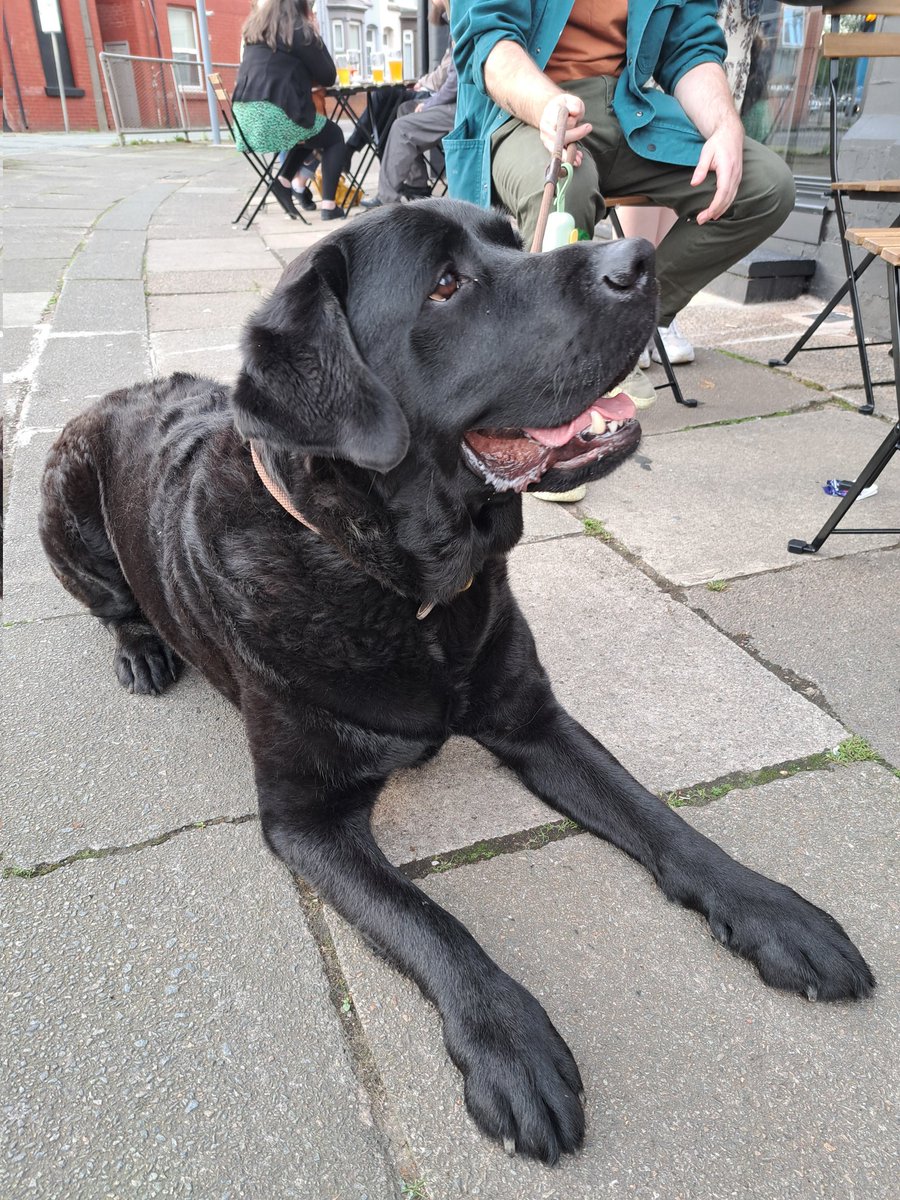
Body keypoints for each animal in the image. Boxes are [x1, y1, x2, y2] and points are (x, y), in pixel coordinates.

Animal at [40, 201, 873, 1166]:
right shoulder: (305, 819)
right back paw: (141, 652)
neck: (405, 584)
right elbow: (428, 918)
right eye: (445, 285)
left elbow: (660, 819)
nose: (640, 258)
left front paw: (773, 911)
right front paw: (508, 1043)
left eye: (510, 238)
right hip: (66, 510)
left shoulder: (535, 719)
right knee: (113, 606)